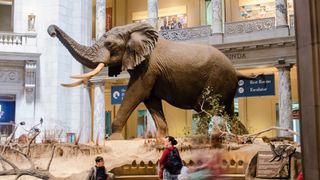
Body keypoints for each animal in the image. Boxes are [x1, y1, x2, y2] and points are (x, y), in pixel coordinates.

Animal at [48, 22, 252, 139]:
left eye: (110, 45)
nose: (51, 31)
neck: (132, 30)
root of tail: (236, 72)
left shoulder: (148, 67)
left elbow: (136, 92)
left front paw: (113, 140)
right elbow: (151, 100)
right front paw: (162, 140)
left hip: (217, 80)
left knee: (205, 110)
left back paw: (199, 141)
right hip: (224, 87)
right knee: (227, 113)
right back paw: (245, 139)